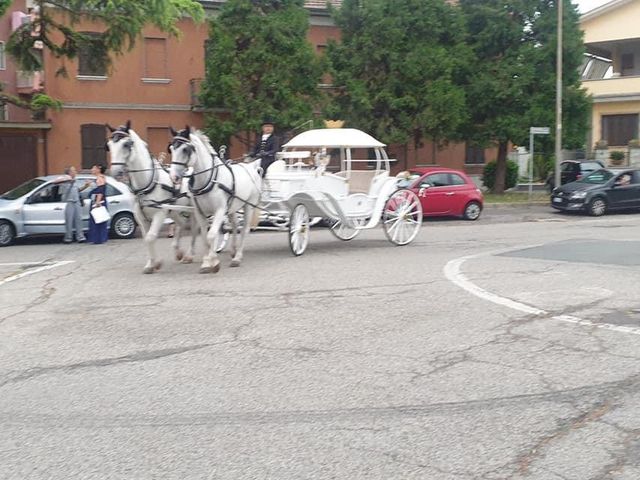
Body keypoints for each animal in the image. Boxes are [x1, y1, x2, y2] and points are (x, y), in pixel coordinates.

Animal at [106, 122, 196, 274]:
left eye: (126, 144)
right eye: (109, 145)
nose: (115, 173)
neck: (148, 183)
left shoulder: (160, 213)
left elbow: (151, 237)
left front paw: (157, 262)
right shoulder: (141, 218)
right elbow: (146, 239)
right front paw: (151, 263)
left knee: (196, 228)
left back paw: (189, 255)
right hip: (176, 210)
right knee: (181, 224)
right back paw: (178, 251)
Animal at [169, 126, 264, 274]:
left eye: (185, 149)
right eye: (171, 148)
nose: (174, 177)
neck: (209, 179)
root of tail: (251, 167)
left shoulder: (219, 210)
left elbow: (212, 235)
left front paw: (213, 262)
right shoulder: (200, 212)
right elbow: (204, 236)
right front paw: (206, 262)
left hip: (248, 206)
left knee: (244, 230)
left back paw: (237, 257)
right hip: (232, 208)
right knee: (235, 225)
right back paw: (233, 251)